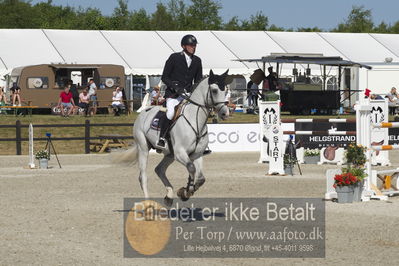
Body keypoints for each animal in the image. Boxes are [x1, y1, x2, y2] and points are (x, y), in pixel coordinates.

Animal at [120, 69, 230, 206]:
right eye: (214, 90)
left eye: (226, 90)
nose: (225, 113)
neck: (195, 120)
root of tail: (144, 111)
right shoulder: (180, 153)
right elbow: (191, 168)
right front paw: (186, 192)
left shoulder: (197, 154)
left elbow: (200, 178)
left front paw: (185, 191)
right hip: (143, 148)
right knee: (143, 176)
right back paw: (148, 203)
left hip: (169, 154)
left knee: (159, 169)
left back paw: (169, 196)